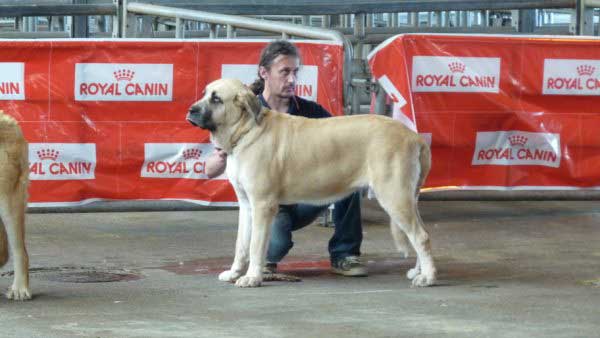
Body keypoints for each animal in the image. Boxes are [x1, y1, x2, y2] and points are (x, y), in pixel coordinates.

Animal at [188, 79, 436, 288]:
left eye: (216, 98)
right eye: (204, 94)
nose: (190, 110)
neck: (246, 131)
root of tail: (415, 137)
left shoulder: (262, 205)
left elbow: (256, 246)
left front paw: (252, 277)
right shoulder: (247, 205)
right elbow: (241, 245)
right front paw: (234, 272)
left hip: (394, 196)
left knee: (421, 236)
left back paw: (428, 277)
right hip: (407, 198)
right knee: (422, 233)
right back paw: (419, 271)